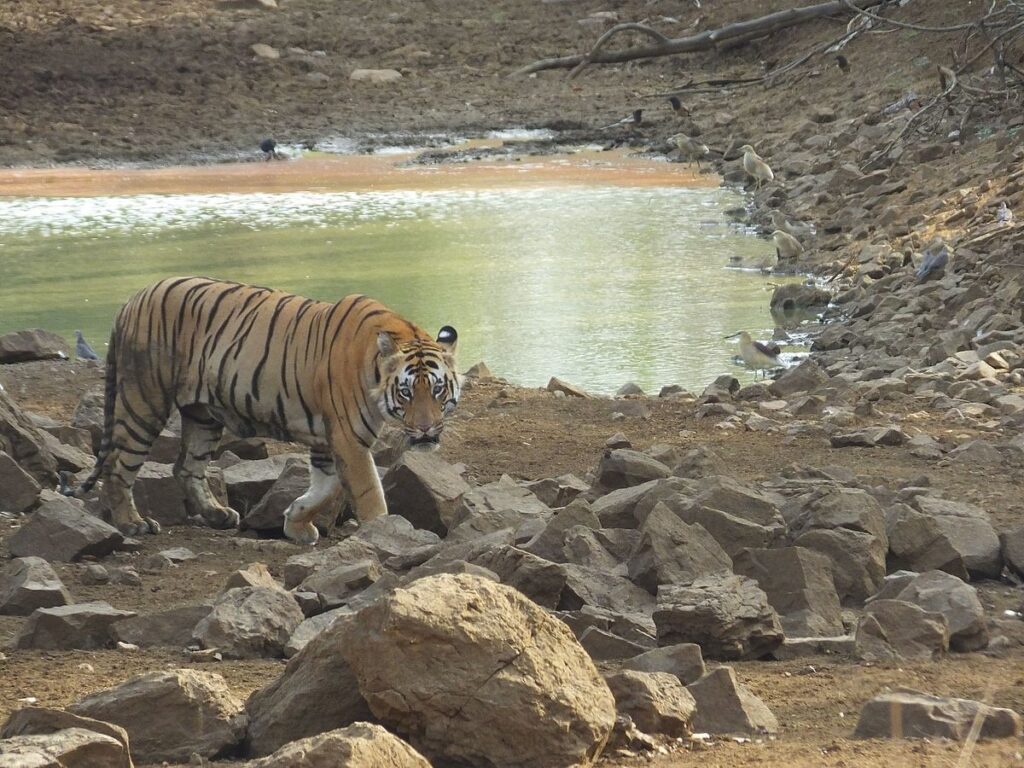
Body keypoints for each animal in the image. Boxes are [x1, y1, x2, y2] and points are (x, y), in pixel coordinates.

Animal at [66, 276, 458, 548]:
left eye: (438, 389)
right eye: (406, 392)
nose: (426, 430)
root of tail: (132, 300)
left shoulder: (329, 440)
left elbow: (325, 488)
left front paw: (296, 523)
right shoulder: (349, 437)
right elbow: (367, 491)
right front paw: (385, 532)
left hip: (202, 414)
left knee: (186, 467)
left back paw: (218, 515)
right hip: (143, 401)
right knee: (118, 466)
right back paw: (132, 523)